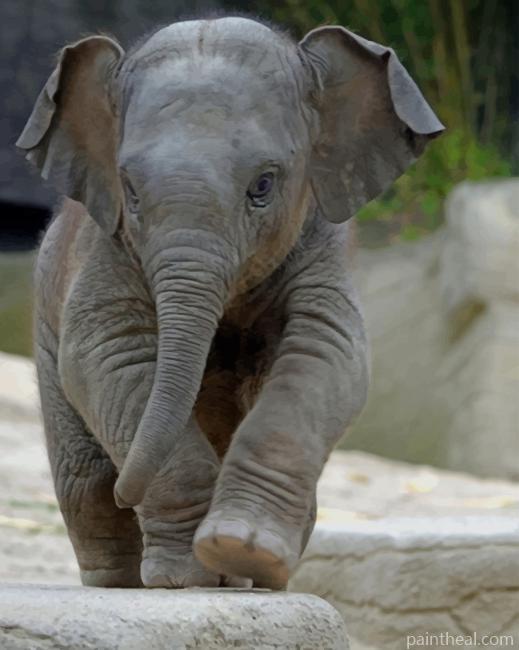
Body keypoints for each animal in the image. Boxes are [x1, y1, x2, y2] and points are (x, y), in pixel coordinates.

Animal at [18, 16, 443, 590]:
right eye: (130, 191)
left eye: (263, 185)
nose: (128, 490)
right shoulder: (106, 247)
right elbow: (110, 355)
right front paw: (186, 579)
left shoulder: (322, 243)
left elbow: (325, 352)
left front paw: (243, 550)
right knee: (85, 484)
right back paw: (125, 582)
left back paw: (251, 581)